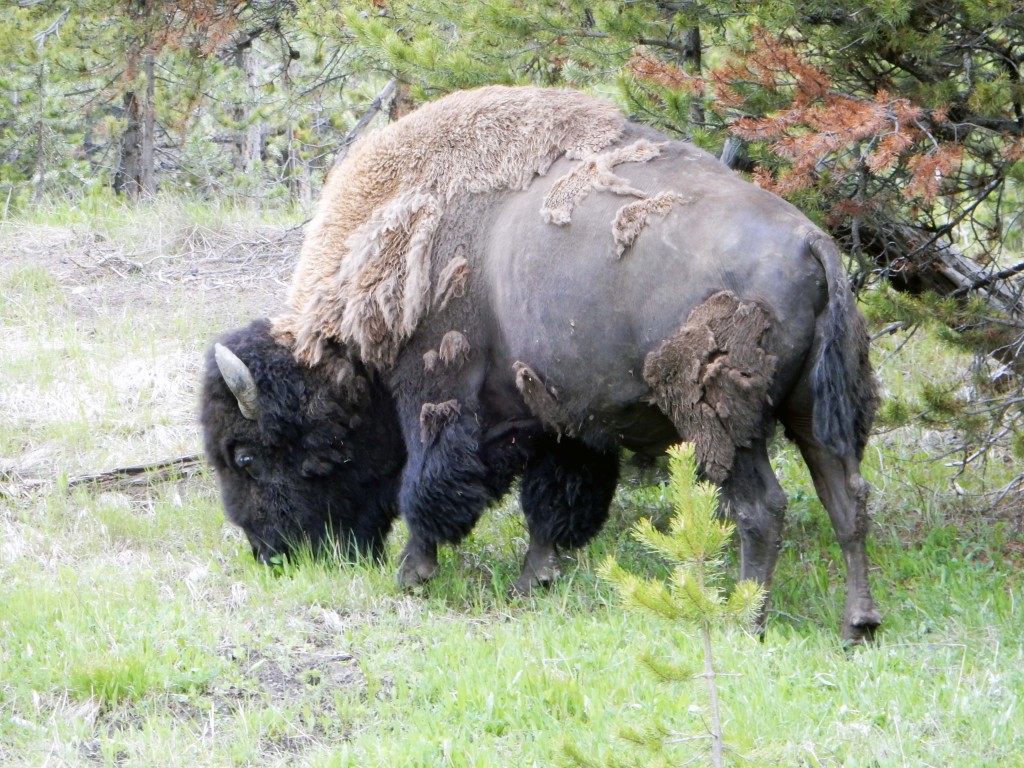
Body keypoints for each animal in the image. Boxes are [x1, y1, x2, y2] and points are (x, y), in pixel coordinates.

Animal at [199, 87, 880, 643]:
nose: (270, 554)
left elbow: (429, 486)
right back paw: (859, 624)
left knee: (761, 508)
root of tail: (812, 243)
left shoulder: (439, 396)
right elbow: (553, 503)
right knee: (847, 500)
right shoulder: (560, 419)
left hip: (723, 425)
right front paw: (537, 580)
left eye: (247, 455)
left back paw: (748, 620)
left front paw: (414, 575)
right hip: (813, 413)